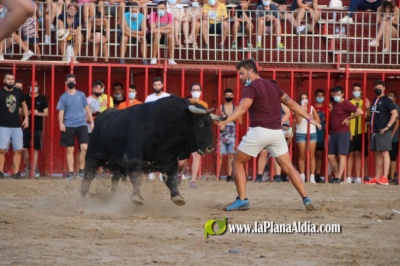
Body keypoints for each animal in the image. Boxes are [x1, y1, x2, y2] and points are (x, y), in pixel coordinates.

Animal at [81, 95, 222, 206]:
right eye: (200, 123)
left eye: (210, 123)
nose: (210, 147)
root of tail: (99, 117)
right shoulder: (133, 158)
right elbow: (136, 177)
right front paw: (137, 197)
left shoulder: (170, 161)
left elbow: (171, 179)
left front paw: (177, 197)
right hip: (93, 157)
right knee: (88, 177)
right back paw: (82, 200)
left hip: (118, 167)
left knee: (114, 180)